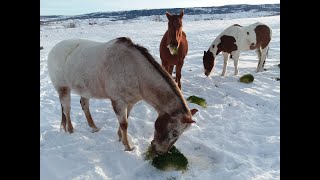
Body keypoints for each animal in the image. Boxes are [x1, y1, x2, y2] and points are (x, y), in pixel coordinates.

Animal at [47, 37, 198, 155]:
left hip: (84, 90)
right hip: (63, 89)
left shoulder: (130, 102)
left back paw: (94, 128)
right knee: (67, 110)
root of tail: (53, 49)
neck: (136, 71)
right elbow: (124, 124)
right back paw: (71, 131)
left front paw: (120, 138)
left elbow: (126, 120)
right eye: (175, 133)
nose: (159, 152)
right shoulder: (118, 101)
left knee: (84, 106)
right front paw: (128, 147)